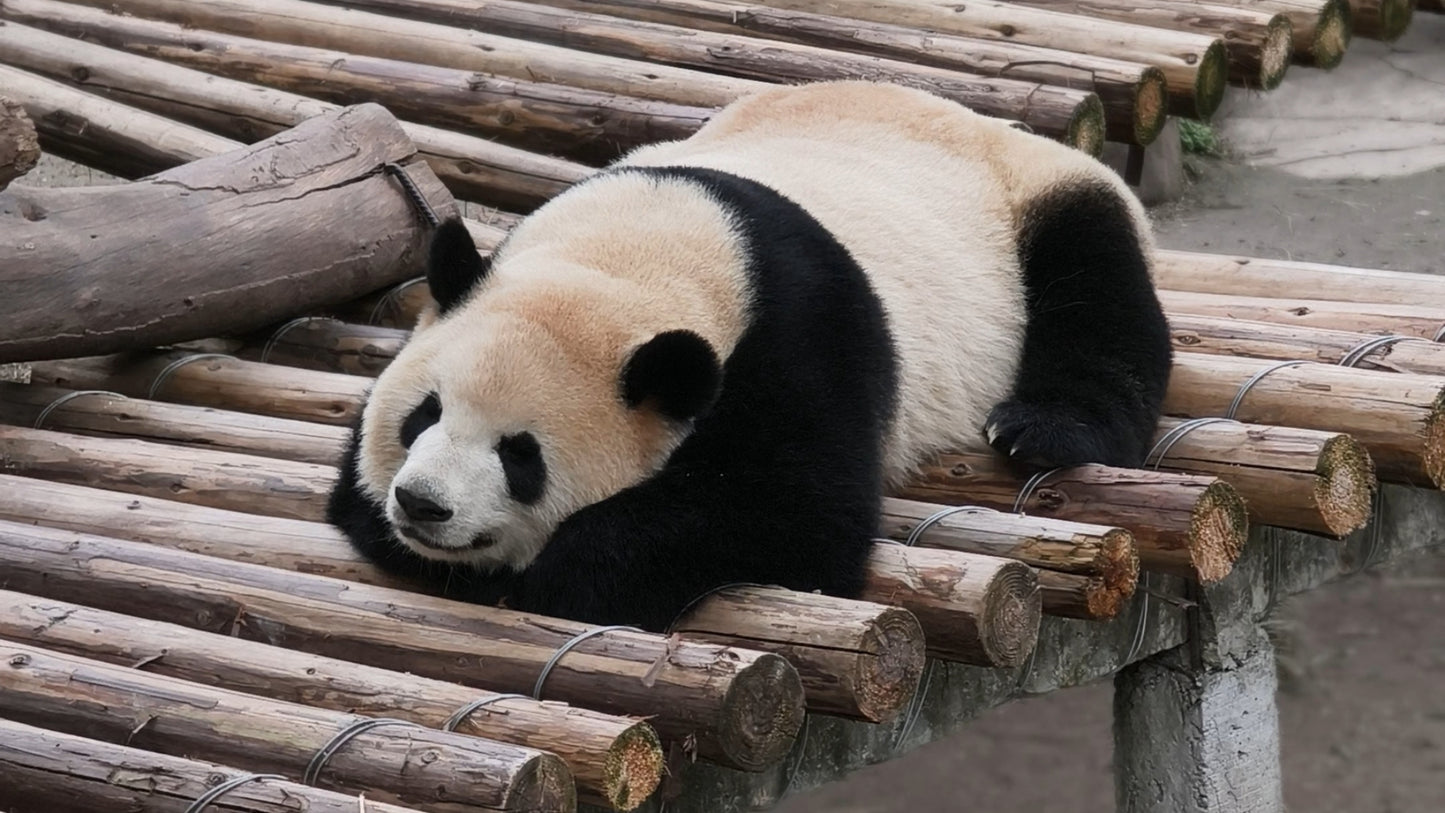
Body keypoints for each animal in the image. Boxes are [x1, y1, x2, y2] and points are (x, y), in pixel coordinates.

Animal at [326, 81, 1172, 632]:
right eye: (423, 415)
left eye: (520, 454)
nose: (422, 503)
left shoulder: (801, 337)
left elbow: (798, 513)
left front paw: (567, 570)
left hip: (1031, 204)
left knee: (1096, 288)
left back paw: (1042, 427)